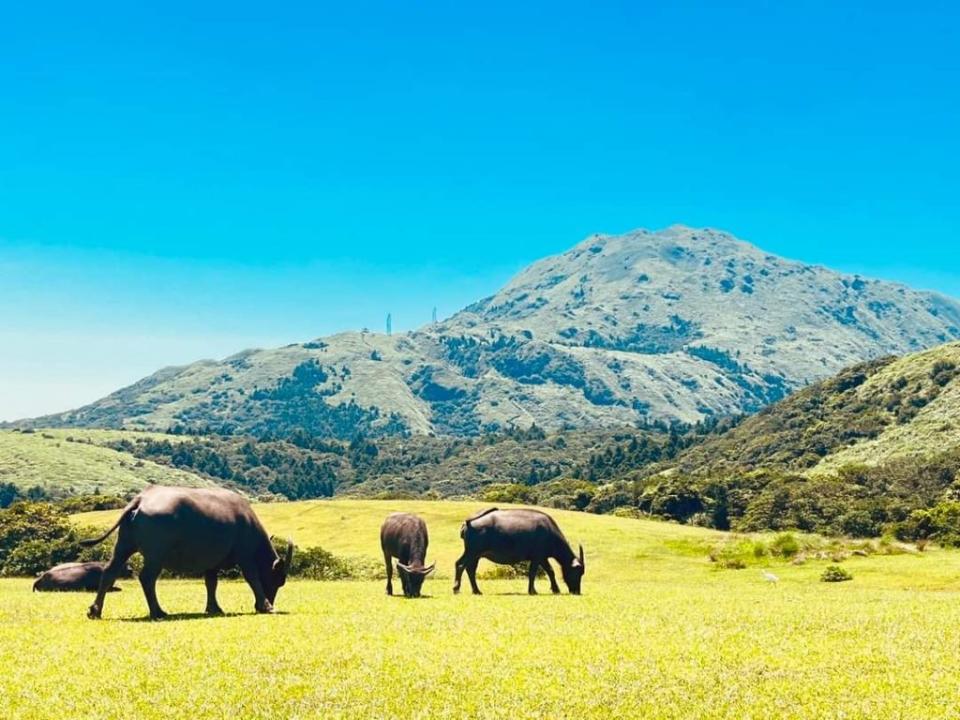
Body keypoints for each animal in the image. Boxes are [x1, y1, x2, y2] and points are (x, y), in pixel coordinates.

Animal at [80, 484, 292, 620]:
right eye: (278, 581)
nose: (270, 600)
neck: (248, 523)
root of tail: (142, 499)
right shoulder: (245, 556)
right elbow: (253, 579)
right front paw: (266, 606)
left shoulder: (212, 563)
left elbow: (211, 583)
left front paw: (214, 608)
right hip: (156, 555)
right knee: (147, 578)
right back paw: (158, 612)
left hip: (124, 545)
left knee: (109, 571)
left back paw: (95, 610)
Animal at [452, 506, 584, 596]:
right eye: (578, 572)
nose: (576, 591)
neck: (549, 533)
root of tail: (468, 523)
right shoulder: (538, 557)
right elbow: (536, 573)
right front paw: (533, 591)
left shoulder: (542, 558)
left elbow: (550, 571)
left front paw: (555, 589)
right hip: (472, 552)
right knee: (460, 565)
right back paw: (456, 588)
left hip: (476, 555)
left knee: (470, 569)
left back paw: (476, 591)